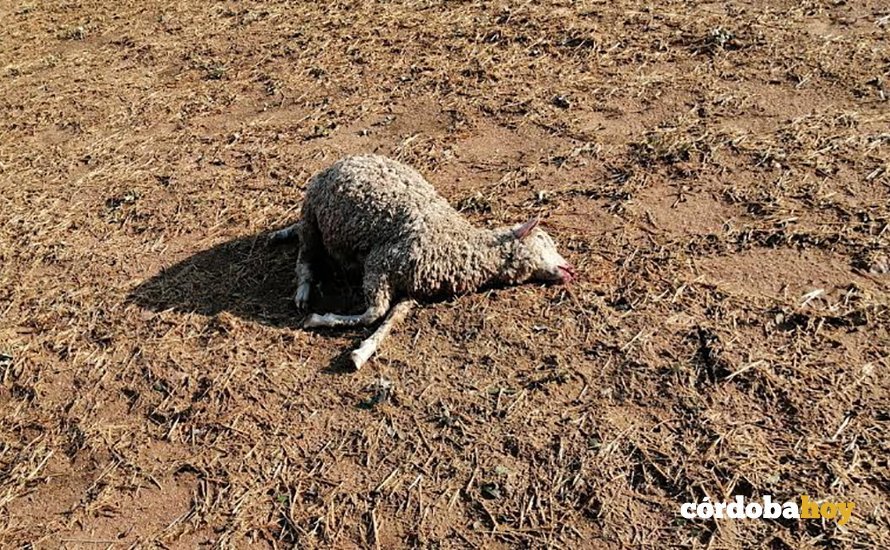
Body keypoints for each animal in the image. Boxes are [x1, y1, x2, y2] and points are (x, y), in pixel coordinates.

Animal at [271, 154, 575, 369]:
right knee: (305, 258)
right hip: (312, 214)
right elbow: (374, 313)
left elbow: (389, 320)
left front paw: (363, 351)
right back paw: (303, 291)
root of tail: (351, 157)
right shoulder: (379, 266)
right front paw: (320, 320)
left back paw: (282, 234)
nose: (570, 269)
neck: (460, 244)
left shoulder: (411, 290)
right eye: (543, 241)